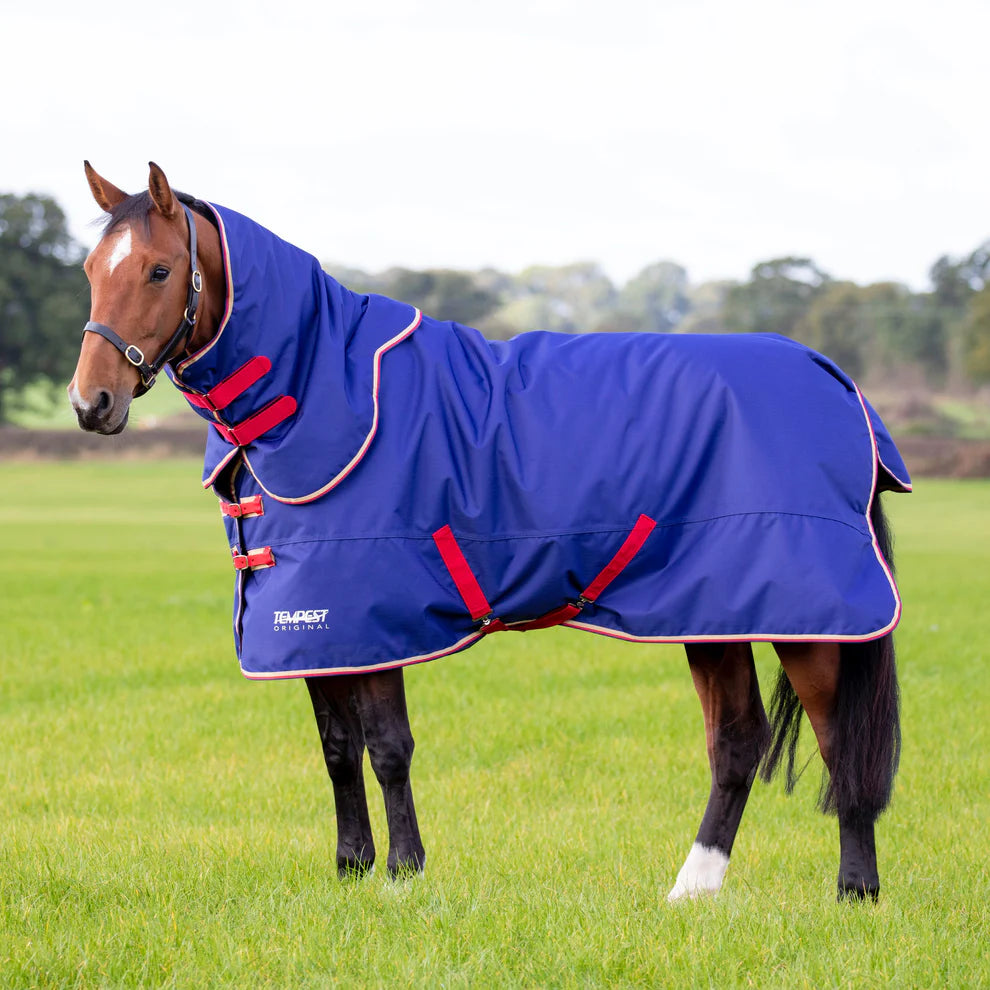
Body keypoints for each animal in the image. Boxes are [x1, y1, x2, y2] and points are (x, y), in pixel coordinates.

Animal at [69, 162, 907, 901]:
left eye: (157, 270)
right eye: (89, 270)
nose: (89, 402)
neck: (317, 391)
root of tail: (836, 381)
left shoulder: (374, 617)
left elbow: (387, 749)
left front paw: (404, 873)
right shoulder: (313, 625)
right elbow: (338, 750)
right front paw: (351, 868)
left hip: (807, 619)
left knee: (839, 741)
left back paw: (856, 888)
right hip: (713, 613)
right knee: (737, 742)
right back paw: (692, 889)